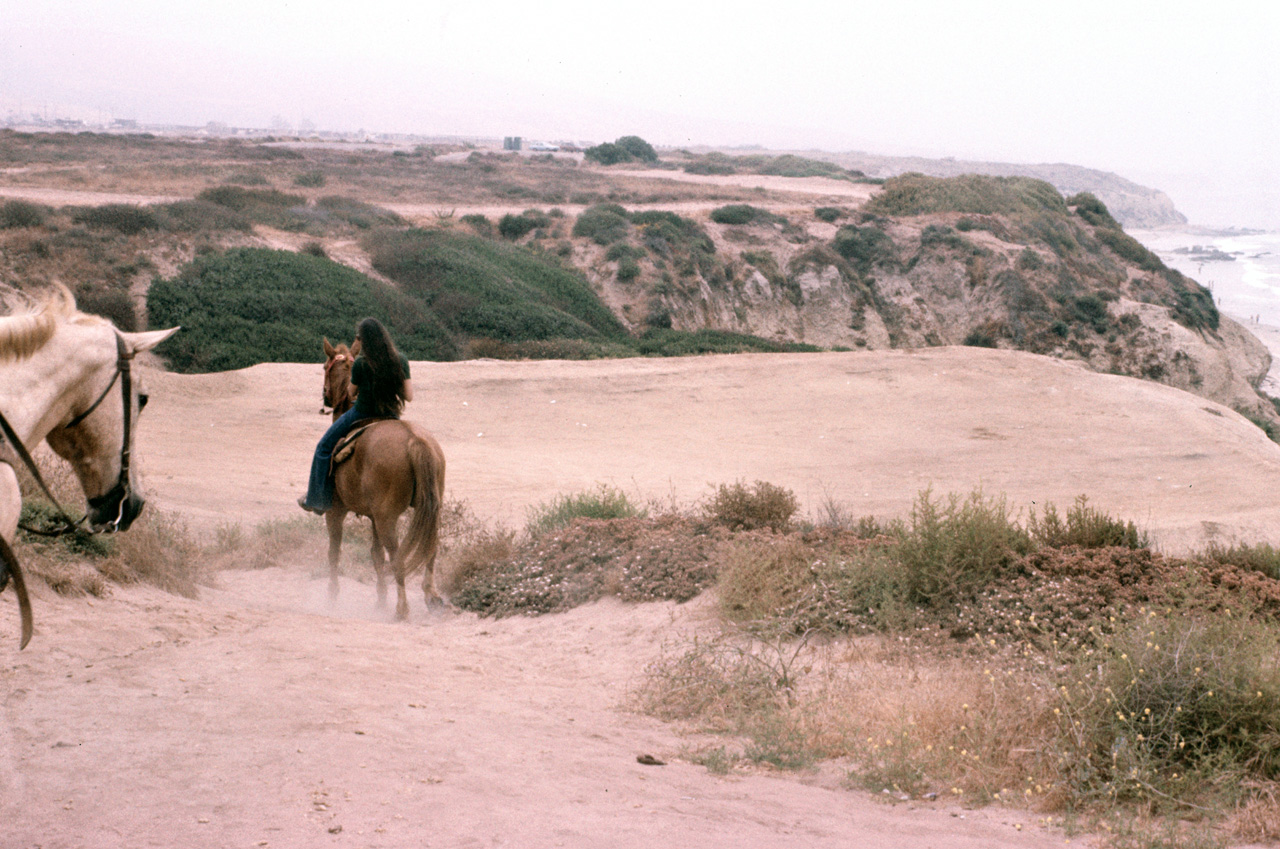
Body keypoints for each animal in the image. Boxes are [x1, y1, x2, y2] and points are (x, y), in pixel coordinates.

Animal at [317, 343, 448, 622]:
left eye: (324, 366)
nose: (325, 398)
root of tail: (413, 440)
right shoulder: (373, 516)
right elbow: (376, 555)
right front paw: (380, 600)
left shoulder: (336, 510)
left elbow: (335, 551)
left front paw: (332, 595)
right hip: (429, 510)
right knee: (430, 549)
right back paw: (431, 596)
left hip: (387, 517)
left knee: (397, 556)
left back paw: (402, 608)